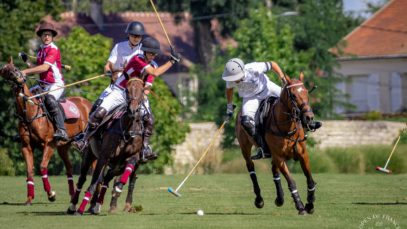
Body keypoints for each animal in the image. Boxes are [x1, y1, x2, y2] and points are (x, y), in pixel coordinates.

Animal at [0, 58, 92, 205]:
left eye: (15, 68)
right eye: (5, 72)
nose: (19, 77)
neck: (30, 114)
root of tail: (87, 103)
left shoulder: (49, 143)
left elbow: (42, 166)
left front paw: (51, 194)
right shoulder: (26, 146)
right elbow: (29, 171)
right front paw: (29, 198)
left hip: (87, 143)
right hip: (63, 147)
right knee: (69, 167)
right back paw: (72, 195)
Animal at [68, 77, 147, 215]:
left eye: (142, 90)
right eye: (127, 90)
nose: (133, 110)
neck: (127, 130)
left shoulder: (133, 157)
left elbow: (127, 172)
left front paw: (118, 189)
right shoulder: (103, 157)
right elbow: (93, 182)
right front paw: (81, 208)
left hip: (116, 166)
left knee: (106, 179)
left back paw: (98, 205)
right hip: (90, 155)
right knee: (83, 179)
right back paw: (74, 206)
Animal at [236, 73, 318, 215]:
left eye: (306, 92)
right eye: (293, 95)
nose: (309, 117)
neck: (287, 127)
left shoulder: (303, 154)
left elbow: (310, 180)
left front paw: (310, 204)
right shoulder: (280, 157)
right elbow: (291, 182)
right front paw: (300, 206)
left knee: (274, 171)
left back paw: (280, 198)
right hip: (245, 147)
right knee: (251, 168)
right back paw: (259, 200)